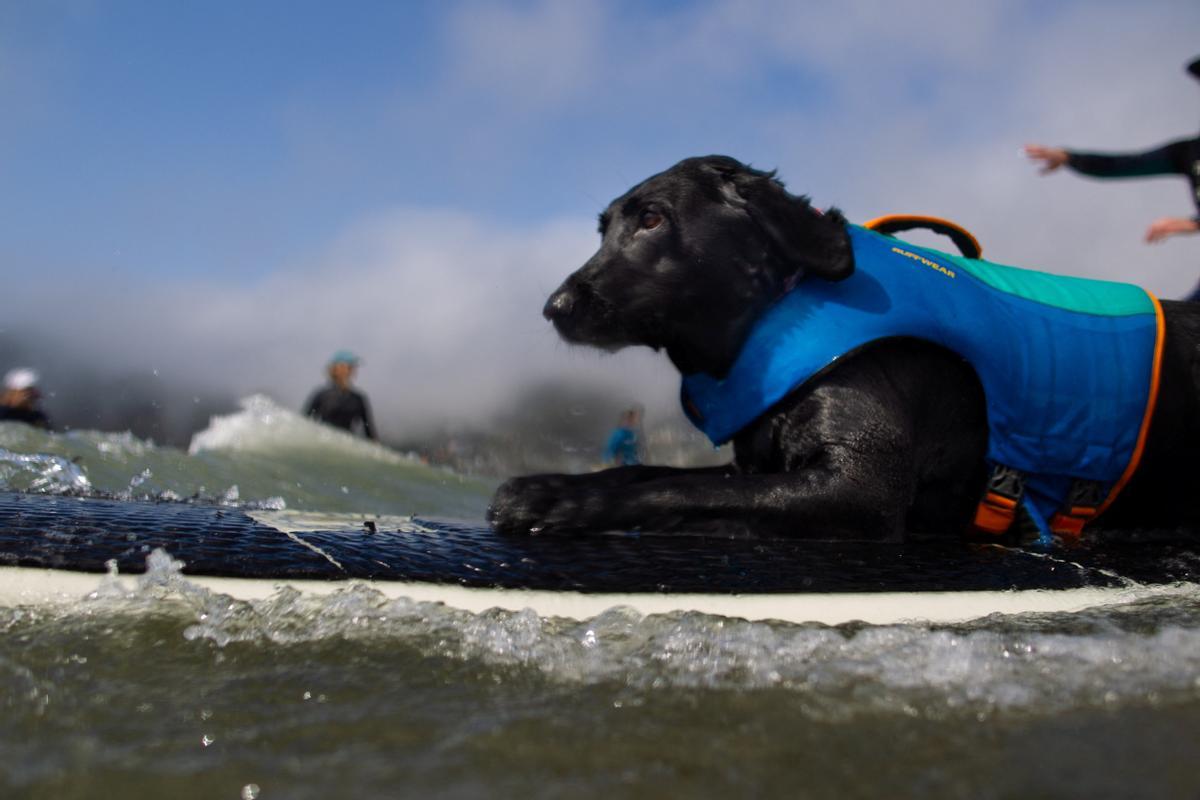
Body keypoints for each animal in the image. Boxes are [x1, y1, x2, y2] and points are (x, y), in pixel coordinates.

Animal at [487, 155, 1200, 542]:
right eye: (603, 228)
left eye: (653, 218)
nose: (555, 308)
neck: (779, 311)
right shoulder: (756, 465)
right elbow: (649, 473)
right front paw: (554, 486)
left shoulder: (859, 488)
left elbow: (677, 491)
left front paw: (557, 503)